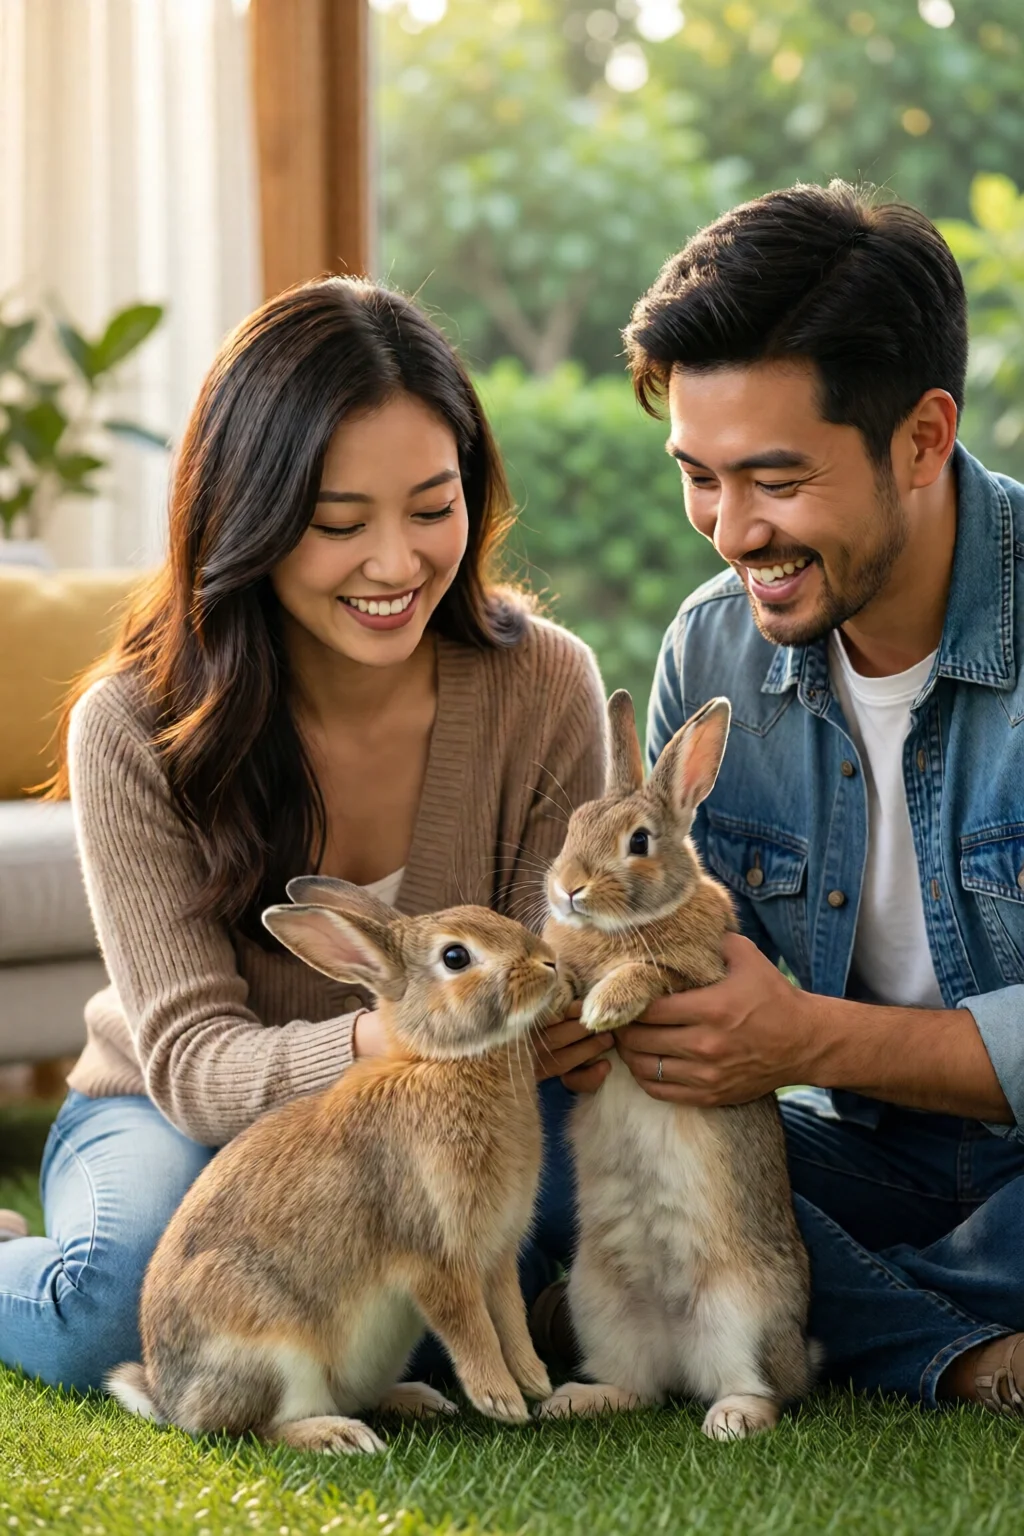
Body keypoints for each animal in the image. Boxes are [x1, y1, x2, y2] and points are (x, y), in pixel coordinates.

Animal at [107, 877, 571, 1455]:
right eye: (455, 957)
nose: (550, 961)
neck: (444, 1062)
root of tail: (169, 1401)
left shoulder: (497, 1252)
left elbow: (510, 1317)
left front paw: (534, 1381)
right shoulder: (434, 1253)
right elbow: (471, 1327)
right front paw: (501, 1400)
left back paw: (416, 1399)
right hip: (273, 1351)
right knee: (257, 1429)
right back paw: (339, 1436)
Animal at [538, 691, 816, 1441]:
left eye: (639, 841)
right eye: (573, 825)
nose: (568, 890)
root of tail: (675, 1337)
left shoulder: (697, 980)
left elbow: (649, 972)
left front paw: (606, 1005)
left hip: (745, 1310)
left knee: (766, 1389)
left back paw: (732, 1419)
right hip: (595, 1301)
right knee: (638, 1388)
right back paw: (572, 1400)